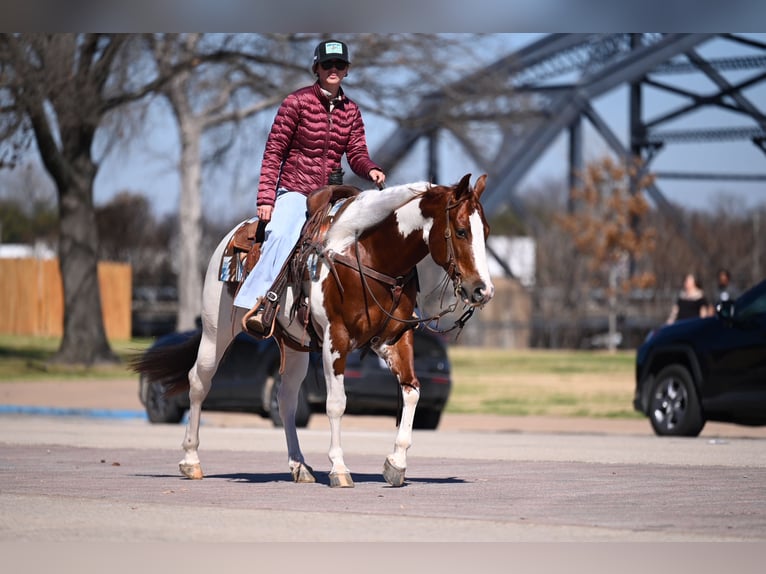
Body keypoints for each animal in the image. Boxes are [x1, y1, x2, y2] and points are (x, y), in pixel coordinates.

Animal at [133, 173, 494, 488]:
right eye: (461, 230)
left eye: (486, 231)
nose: (483, 290)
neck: (368, 254)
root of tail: (232, 235)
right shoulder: (336, 340)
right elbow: (337, 403)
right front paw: (339, 469)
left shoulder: (394, 339)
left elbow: (412, 391)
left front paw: (396, 464)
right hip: (216, 329)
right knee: (198, 382)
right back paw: (191, 460)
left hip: (295, 348)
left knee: (286, 400)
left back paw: (299, 465)